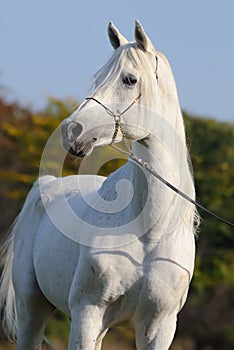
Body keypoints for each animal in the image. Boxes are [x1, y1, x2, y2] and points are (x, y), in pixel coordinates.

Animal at [0, 21, 199, 350]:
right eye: (98, 76)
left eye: (130, 79)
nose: (72, 130)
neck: (150, 230)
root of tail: (46, 186)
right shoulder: (87, 313)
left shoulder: (159, 327)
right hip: (32, 311)